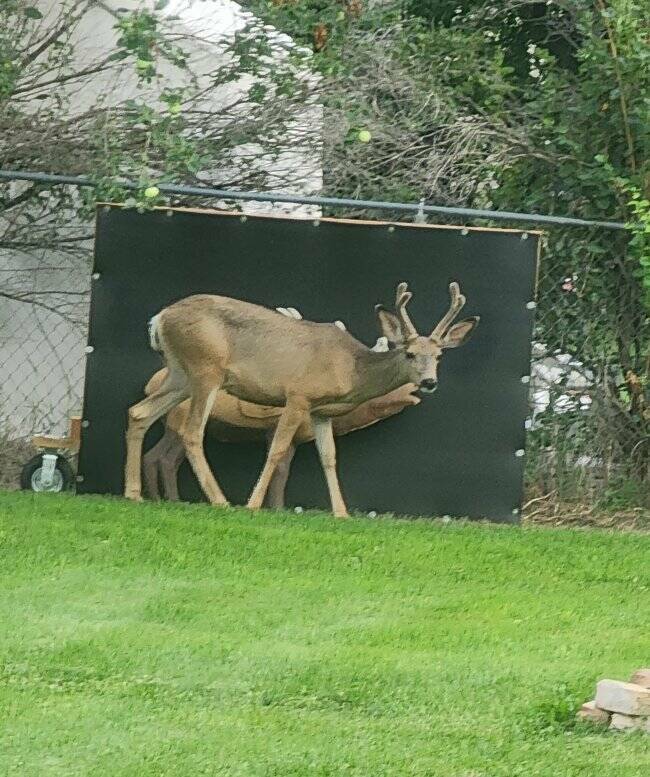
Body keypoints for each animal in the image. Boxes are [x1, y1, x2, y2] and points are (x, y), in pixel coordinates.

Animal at [124, 281, 479, 517]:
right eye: (409, 353)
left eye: (438, 356)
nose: (430, 382)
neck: (351, 368)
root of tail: (160, 318)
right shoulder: (298, 396)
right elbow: (277, 451)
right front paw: (254, 505)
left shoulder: (322, 412)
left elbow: (329, 457)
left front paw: (341, 513)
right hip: (205, 368)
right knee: (192, 432)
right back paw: (221, 500)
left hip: (180, 374)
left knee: (139, 413)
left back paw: (134, 494)